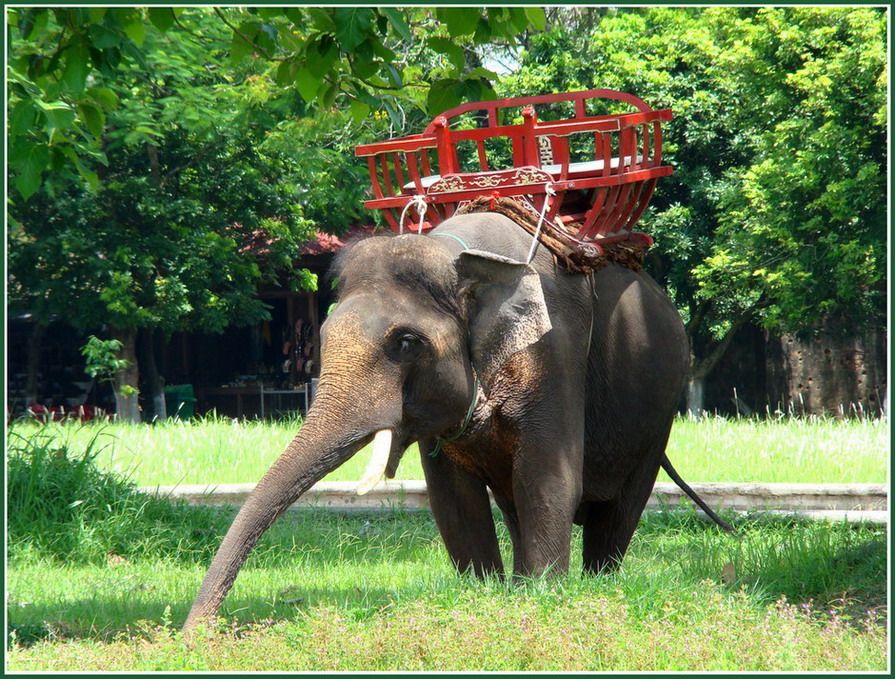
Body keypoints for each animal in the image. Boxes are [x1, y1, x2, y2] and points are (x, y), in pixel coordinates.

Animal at [182, 212, 728, 632]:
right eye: (322, 332)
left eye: (406, 342)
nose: (196, 636)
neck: (459, 254)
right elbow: (453, 499)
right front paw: (488, 598)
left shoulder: (554, 352)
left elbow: (547, 481)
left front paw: (541, 601)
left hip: (658, 414)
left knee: (618, 508)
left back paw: (599, 586)